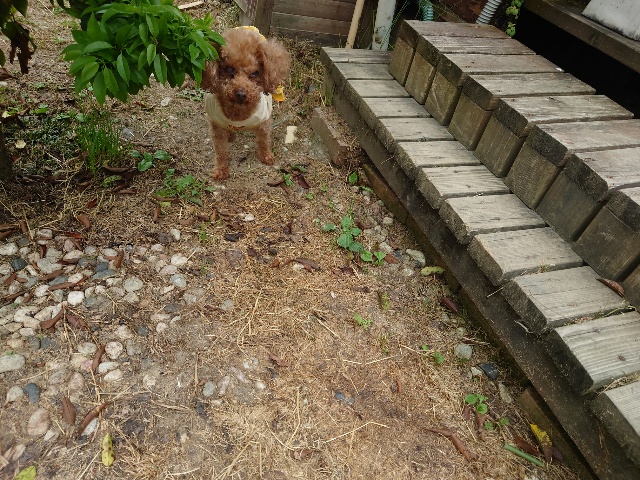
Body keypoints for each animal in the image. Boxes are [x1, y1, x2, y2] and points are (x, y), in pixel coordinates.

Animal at [201, 26, 291, 180]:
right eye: (229, 69)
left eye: (255, 73)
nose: (241, 94)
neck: (238, 115)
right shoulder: (216, 127)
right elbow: (220, 151)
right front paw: (221, 170)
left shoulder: (264, 122)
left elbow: (264, 140)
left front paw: (266, 157)